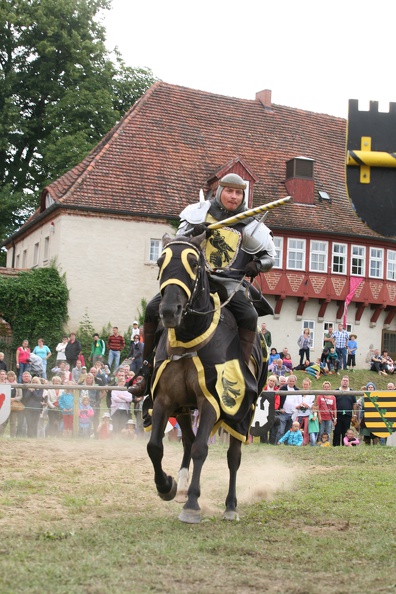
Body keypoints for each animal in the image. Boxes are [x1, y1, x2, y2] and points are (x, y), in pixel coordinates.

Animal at [147, 234, 268, 520]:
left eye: (193, 262)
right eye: (160, 260)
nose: (169, 311)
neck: (189, 337)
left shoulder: (211, 401)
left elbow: (202, 448)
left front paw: (193, 504)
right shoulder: (164, 400)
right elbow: (155, 446)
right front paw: (166, 486)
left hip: (243, 414)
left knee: (233, 456)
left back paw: (230, 506)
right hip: (183, 408)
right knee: (187, 442)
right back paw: (180, 486)